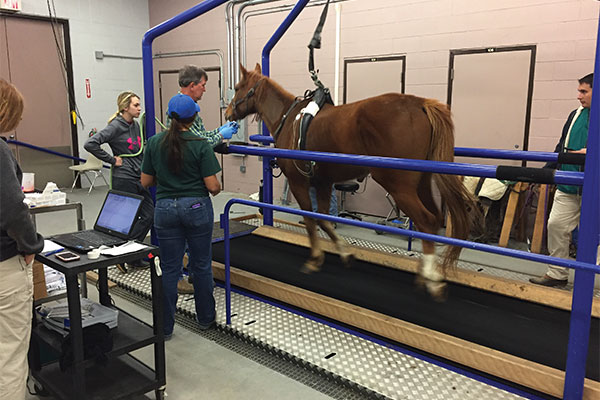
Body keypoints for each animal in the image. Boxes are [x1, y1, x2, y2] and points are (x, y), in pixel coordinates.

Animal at [225, 63, 474, 300]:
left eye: (237, 88)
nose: (227, 113)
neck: (289, 119)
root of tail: (420, 104)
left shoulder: (299, 183)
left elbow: (310, 219)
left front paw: (315, 258)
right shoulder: (323, 183)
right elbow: (324, 218)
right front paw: (344, 251)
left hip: (399, 186)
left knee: (426, 220)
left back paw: (432, 278)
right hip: (421, 184)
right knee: (433, 220)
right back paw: (425, 272)